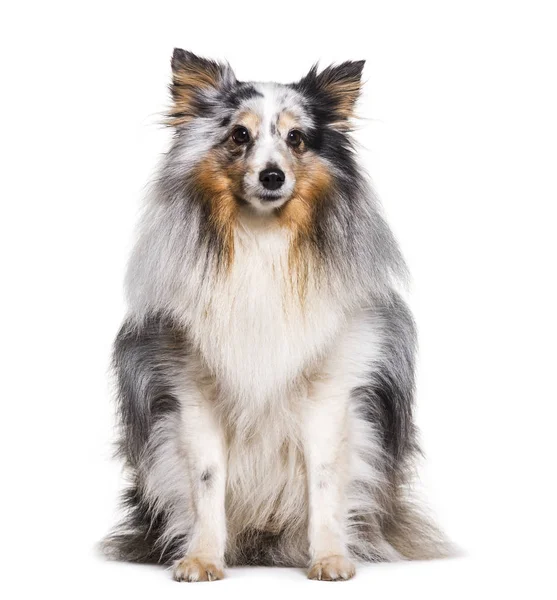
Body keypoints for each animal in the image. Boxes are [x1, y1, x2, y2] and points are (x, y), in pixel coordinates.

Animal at [104, 50, 450, 580]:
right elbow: (206, 480)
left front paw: (330, 559)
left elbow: (325, 479)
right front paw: (202, 559)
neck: (262, 241)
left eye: (297, 138)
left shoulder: (330, 391)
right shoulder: (193, 392)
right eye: (239, 135)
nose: (272, 177)